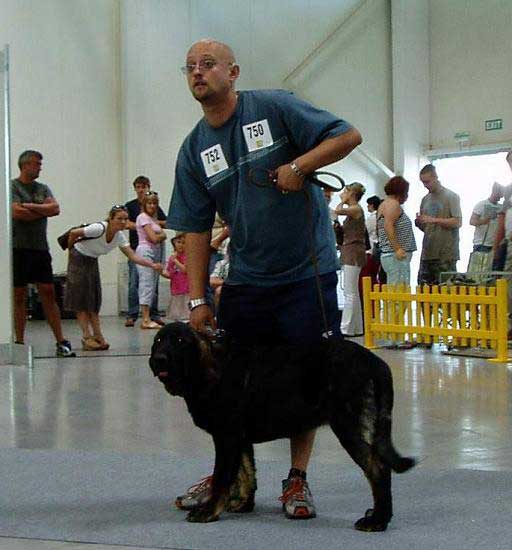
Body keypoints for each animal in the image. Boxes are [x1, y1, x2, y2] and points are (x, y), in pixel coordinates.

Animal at [149, 322, 416, 532]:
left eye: (180, 341)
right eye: (159, 340)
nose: (159, 359)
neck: (210, 369)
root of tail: (377, 364)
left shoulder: (227, 436)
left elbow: (222, 478)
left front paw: (209, 511)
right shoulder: (240, 438)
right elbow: (246, 474)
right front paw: (242, 504)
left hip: (349, 426)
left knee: (378, 469)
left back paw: (378, 520)